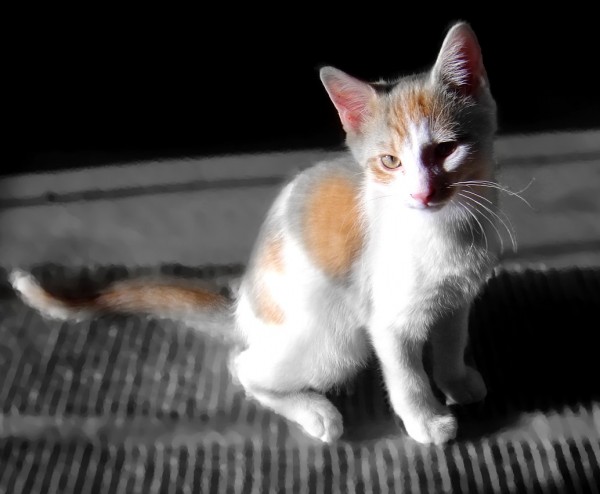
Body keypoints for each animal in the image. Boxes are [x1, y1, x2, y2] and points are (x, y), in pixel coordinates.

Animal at [10, 22, 496, 444]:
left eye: (446, 149)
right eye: (390, 162)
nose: (423, 193)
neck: (445, 227)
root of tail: (243, 309)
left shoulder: (457, 296)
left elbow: (452, 340)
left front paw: (457, 380)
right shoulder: (387, 318)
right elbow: (406, 374)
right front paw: (427, 420)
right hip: (333, 340)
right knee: (244, 366)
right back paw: (312, 410)